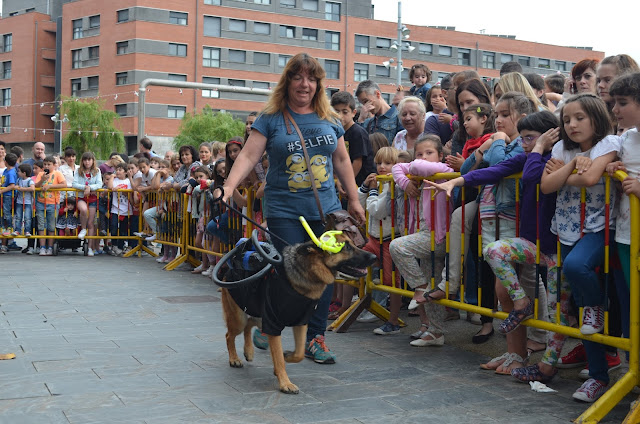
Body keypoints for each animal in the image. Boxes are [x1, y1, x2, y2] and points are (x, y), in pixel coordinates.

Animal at [220, 232, 376, 394]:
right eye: (345, 247)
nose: (374, 257)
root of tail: (229, 270)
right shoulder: (272, 323)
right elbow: (278, 357)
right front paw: (285, 383)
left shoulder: (301, 322)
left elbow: (299, 353)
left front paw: (287, 356)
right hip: (239, 318)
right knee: (230, 335)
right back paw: (234, 359)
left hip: (255, 314)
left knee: (248, 325)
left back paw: (248, 351)